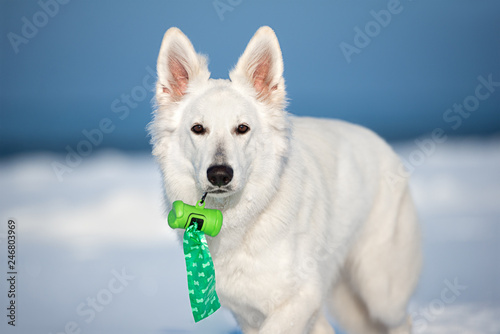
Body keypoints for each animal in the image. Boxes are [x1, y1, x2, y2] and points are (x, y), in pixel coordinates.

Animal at [149, 26, 422, 334]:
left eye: (242, 128)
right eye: (198, 128)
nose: (219, 174)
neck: (242, 219)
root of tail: (382, 143)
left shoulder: (299, 299)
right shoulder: (251, 314)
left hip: (380, 290)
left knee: (401, 319)